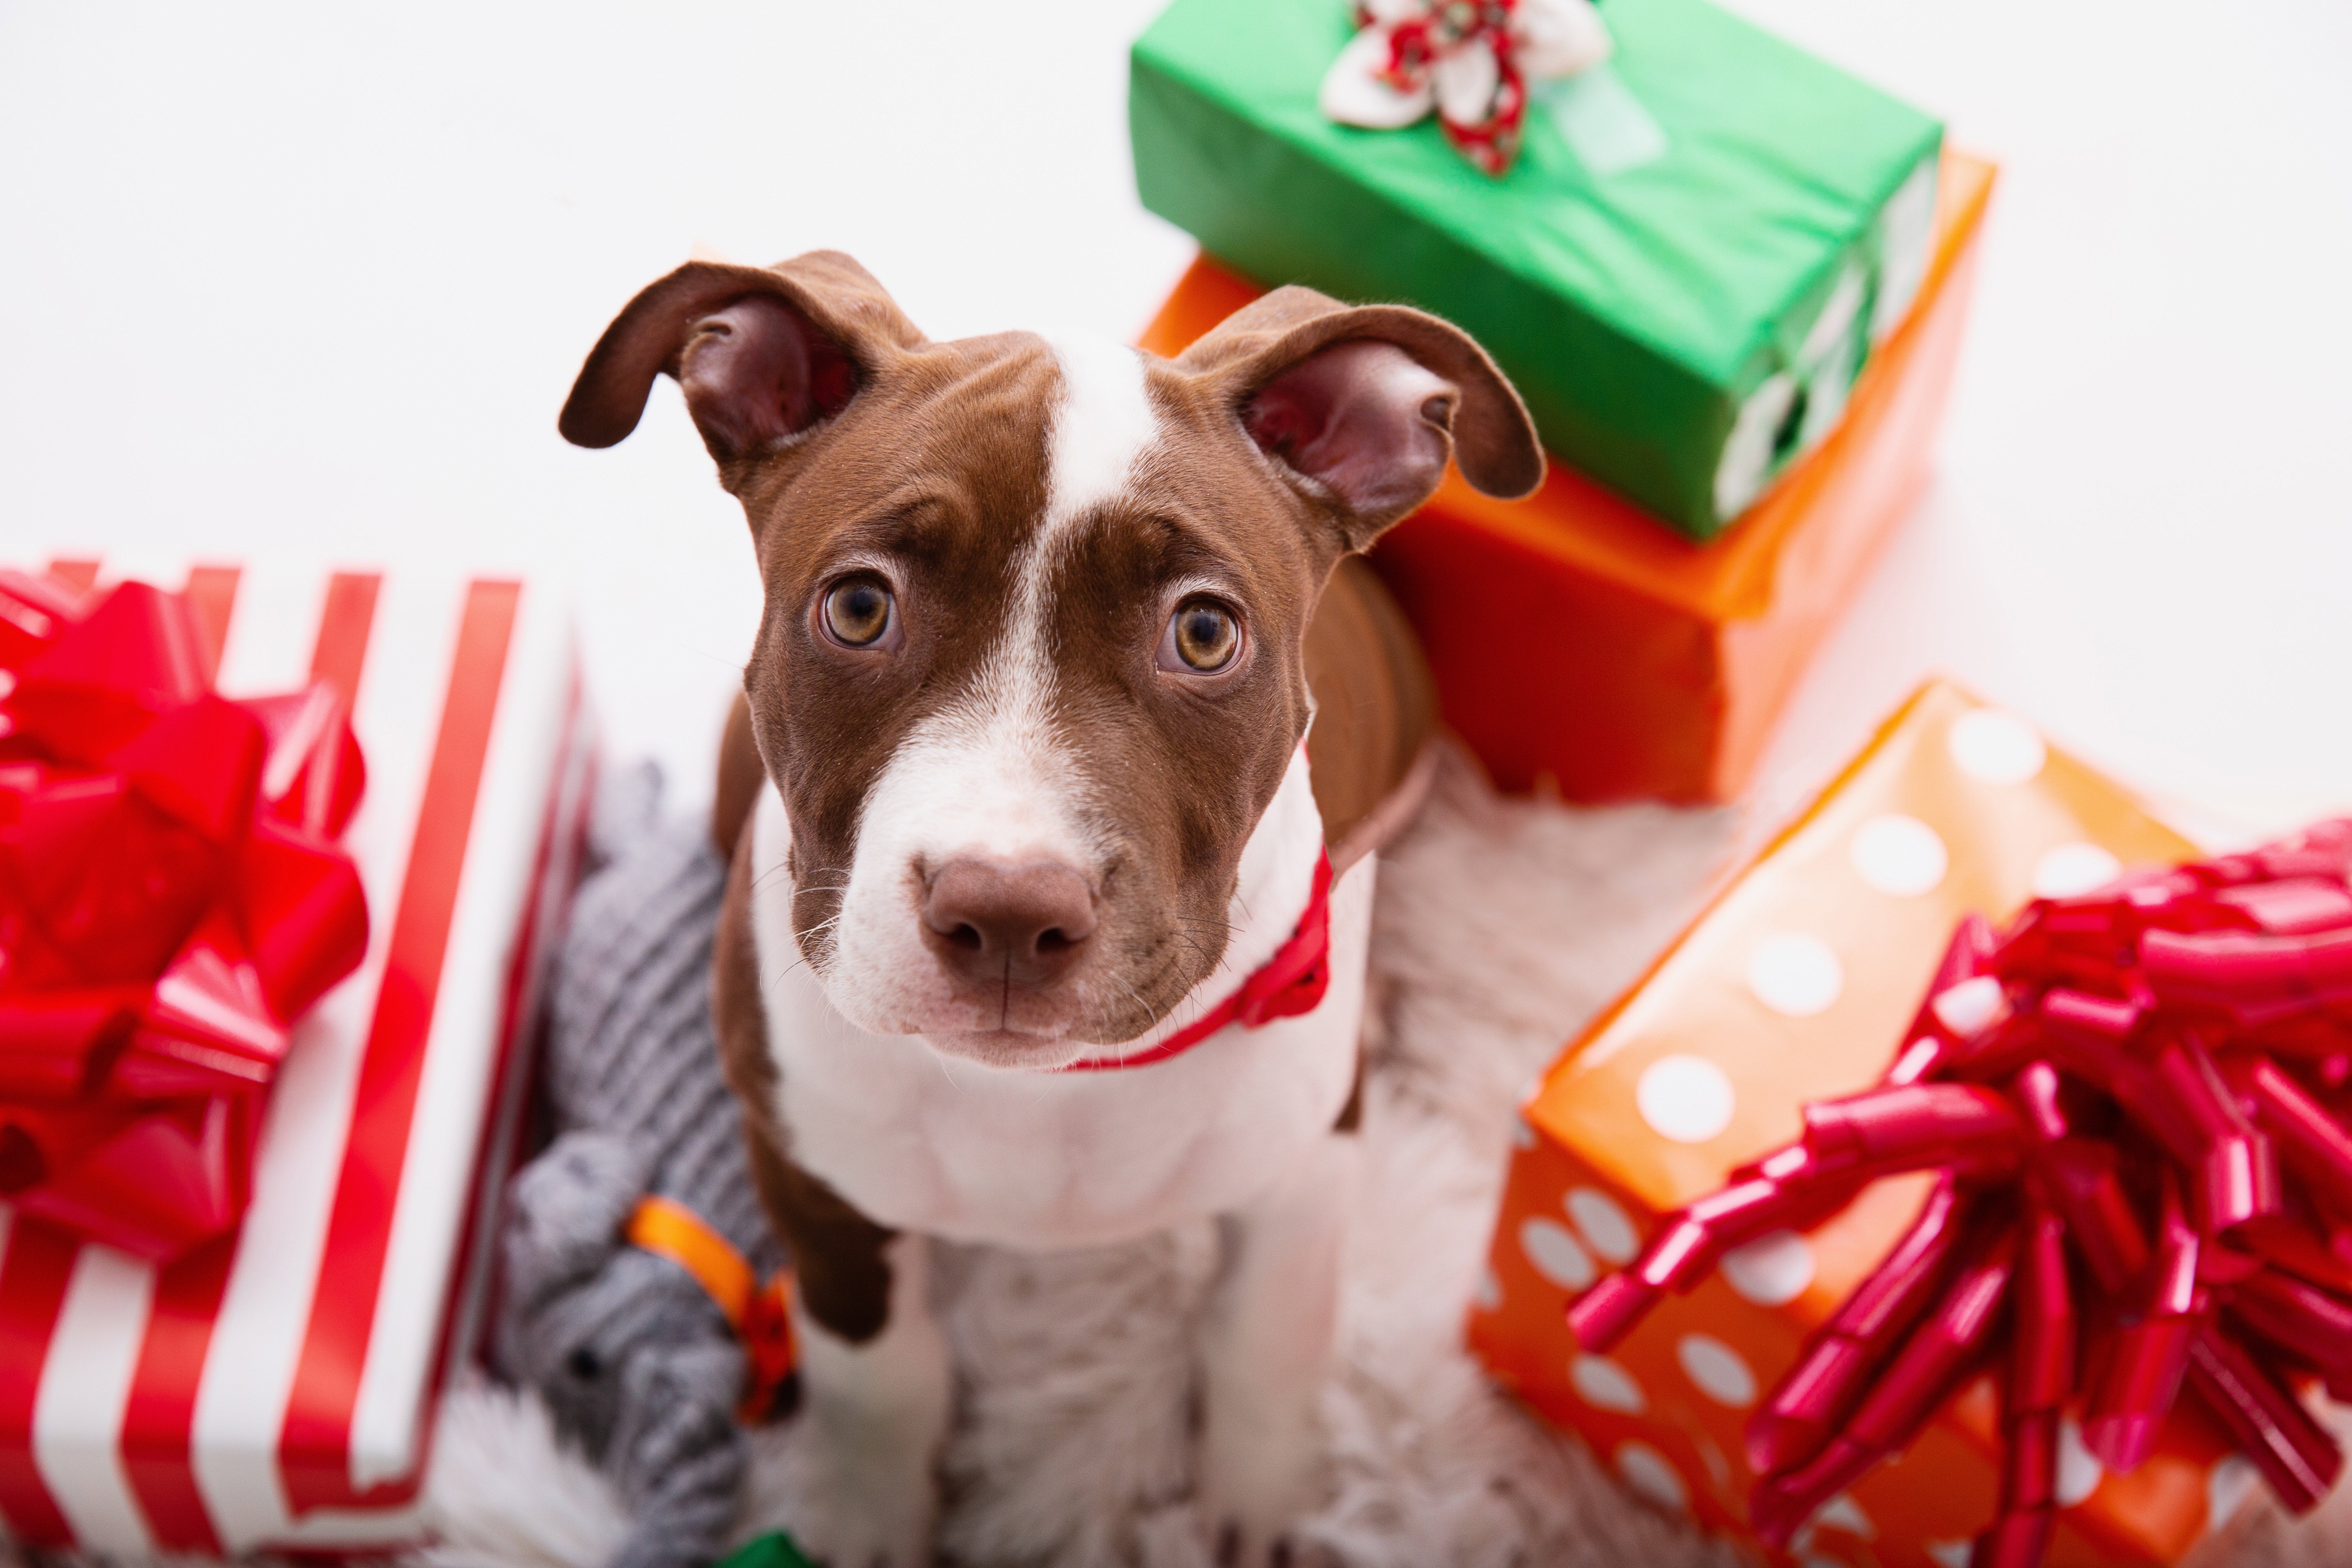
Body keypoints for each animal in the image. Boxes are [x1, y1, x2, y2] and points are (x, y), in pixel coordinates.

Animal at [557, 257, 1533, 1568]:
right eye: (857, 609)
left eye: (1205, 632)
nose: (1007, 909)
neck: (1046, 1091)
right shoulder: (811, 1180)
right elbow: (878, 1377)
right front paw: (871, 1521)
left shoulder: (1303, 1163)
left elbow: (1268, 1330)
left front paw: (1267, 1502)